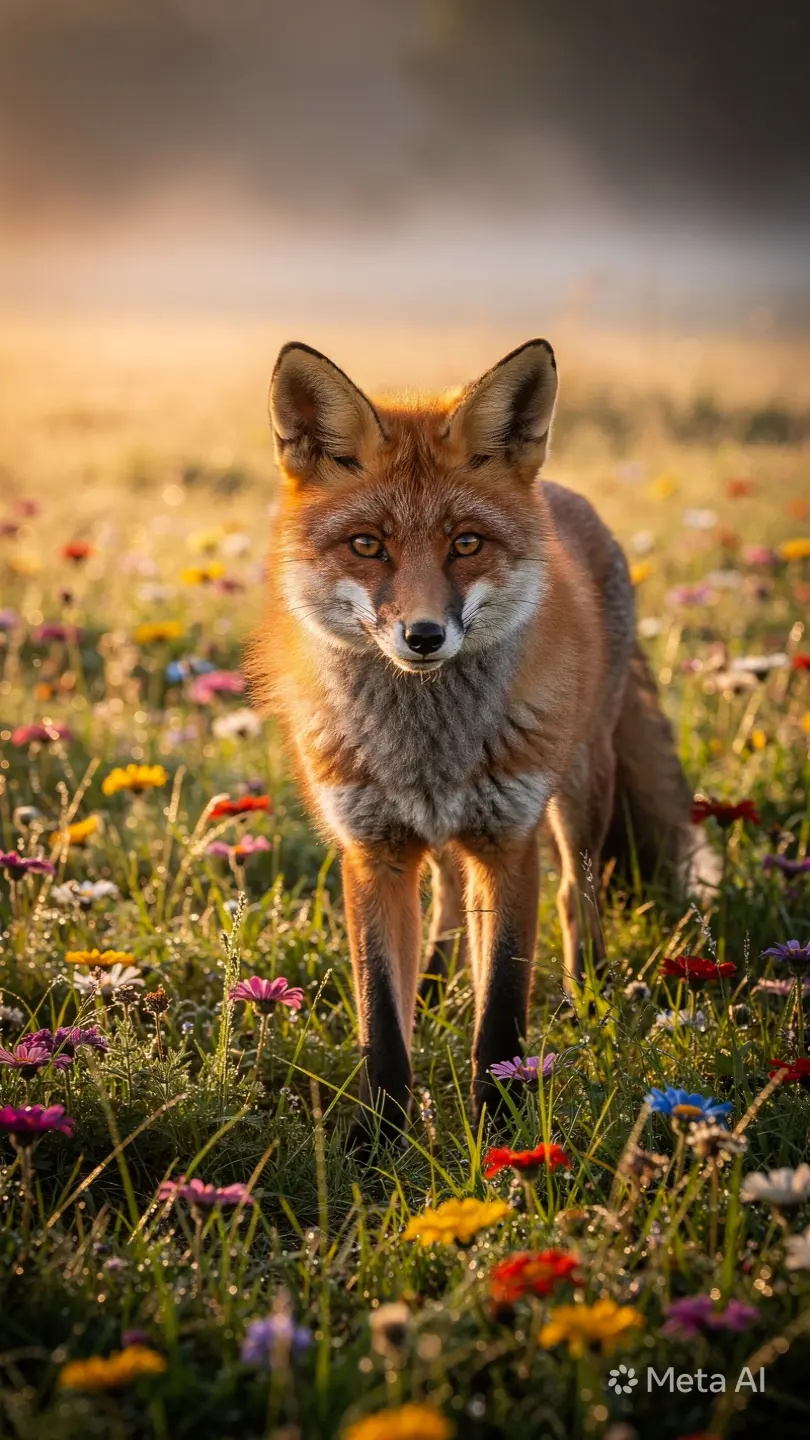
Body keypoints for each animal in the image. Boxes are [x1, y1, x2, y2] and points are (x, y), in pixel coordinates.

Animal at [250, 338, 712, 1141]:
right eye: (367, 545)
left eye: (466, 544)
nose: (424, 636)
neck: (427, 751)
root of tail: (563, 494)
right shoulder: (370, 852)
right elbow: (381, 1019)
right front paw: (382, 1141)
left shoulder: (508, 843)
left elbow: (500, 1014)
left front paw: (498, 1133)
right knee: (443, 895)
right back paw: (434, 988)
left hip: (579, 788)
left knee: (577, 896)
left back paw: (589, 1000)